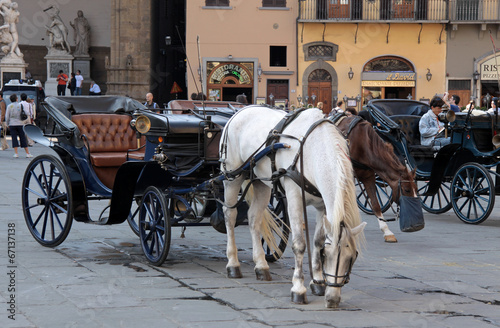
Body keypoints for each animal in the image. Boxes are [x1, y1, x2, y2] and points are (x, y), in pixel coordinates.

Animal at [221, 107, 366, 308]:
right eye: (327, 255)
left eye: (351, 258)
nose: (332, 300)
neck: (313, 151)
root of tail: (239, 111)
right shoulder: (294, 197)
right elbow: (299, 244)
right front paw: (298, 288)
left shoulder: (322, 206)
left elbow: (317, 240)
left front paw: (318, 283)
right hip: (232, 176)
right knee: (230, 214)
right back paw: (233, 264)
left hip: (260, 182)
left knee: (253, 218)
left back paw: (261, 265)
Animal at [336, 114, 418, 242]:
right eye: (407, 190)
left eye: (416, 189)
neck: (361, 142)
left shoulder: (368, 176)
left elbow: (375, 204)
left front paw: (387, 231)